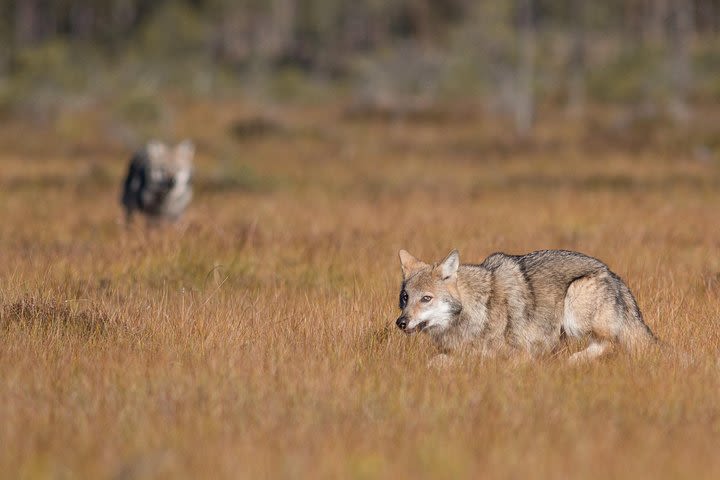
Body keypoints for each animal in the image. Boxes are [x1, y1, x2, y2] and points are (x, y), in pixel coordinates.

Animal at [396, 248, 656, 364]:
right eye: (406, 298)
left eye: (426, 298)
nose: (401, 322)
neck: (478, 308)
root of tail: (613, 275)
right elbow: (435, 361)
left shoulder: (518, 354)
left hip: (574, 304)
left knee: (610, 344)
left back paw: (569, 363)